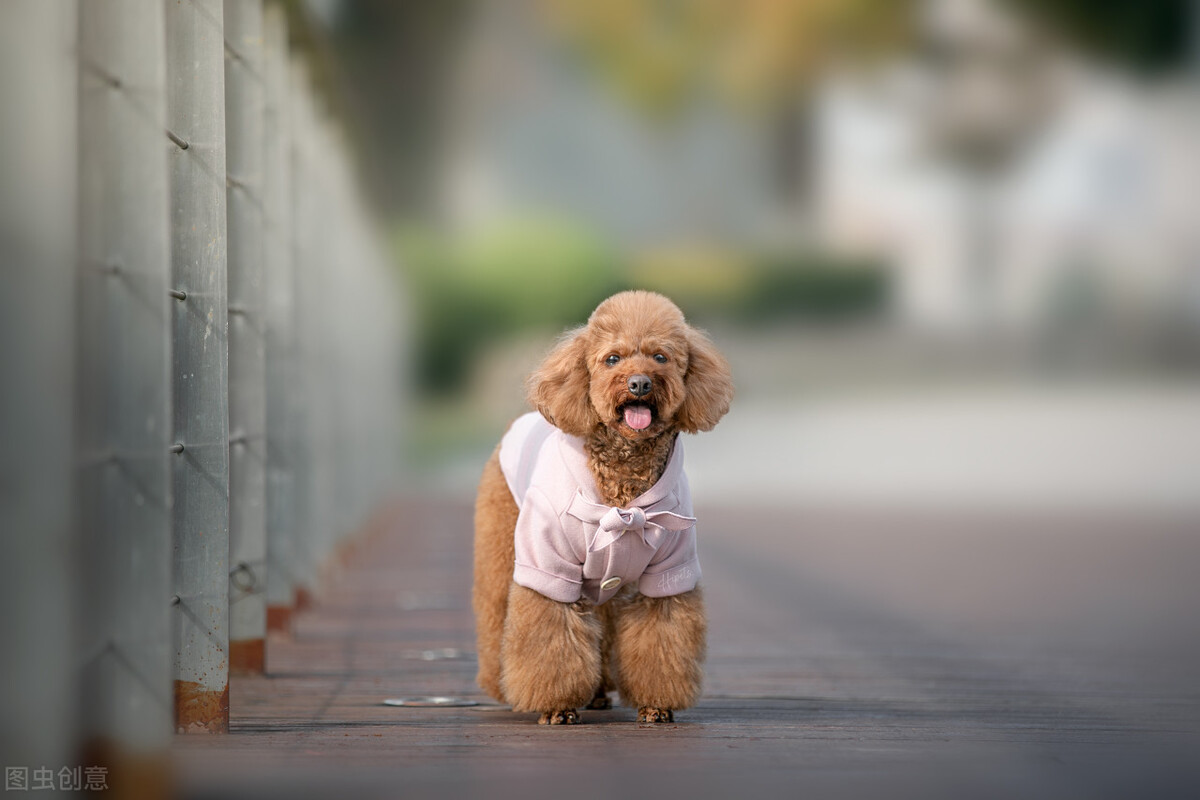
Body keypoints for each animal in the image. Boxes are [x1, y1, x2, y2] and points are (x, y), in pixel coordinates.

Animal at [470, 289, 729, 724]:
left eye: (661, 357)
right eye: (612, 359)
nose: (640, 383)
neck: (623, 487)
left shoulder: (668, 572)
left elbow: (661, 639)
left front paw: (657, 705)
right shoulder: (548, 566)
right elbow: (549, 638)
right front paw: (556, 707)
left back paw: (597, 692)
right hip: (503, 546)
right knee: (495, 615)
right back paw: (502, 684)